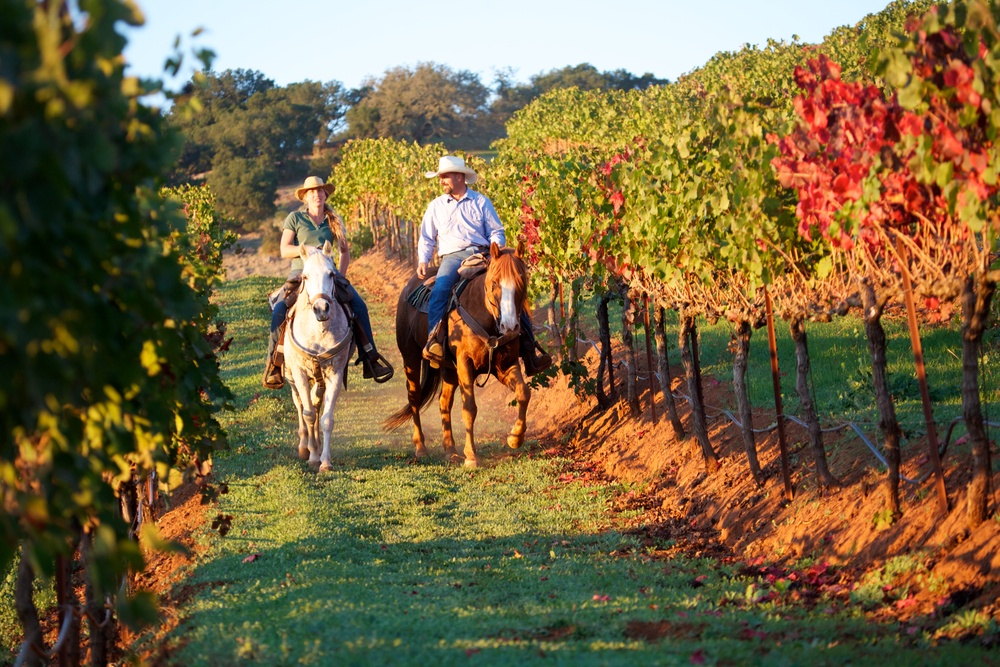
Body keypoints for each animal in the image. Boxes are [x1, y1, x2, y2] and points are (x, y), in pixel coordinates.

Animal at [284, 243, 354, 472]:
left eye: (331, 274)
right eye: (305, 277)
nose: (321, 309)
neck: (318, 331)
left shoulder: (335, 373)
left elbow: (325, 418)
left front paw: (325, 461)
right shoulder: (299, 373)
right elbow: (307, 413)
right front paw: (313, 455)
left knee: (315, 403)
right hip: (291, 376)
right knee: (300, 405)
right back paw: (304, 446)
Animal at [382, 243, 532, 468]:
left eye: (522, 281)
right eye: (494, 283)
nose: (510, 326)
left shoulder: (506, 365)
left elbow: (524, 393)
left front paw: (515, 437)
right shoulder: (464, 363)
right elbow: (469, 408)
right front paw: (471, 456)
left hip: (448, 369)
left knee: (444, 402)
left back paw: (450, 450)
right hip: (411, 358)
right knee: (414, 397)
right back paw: (421, 447)